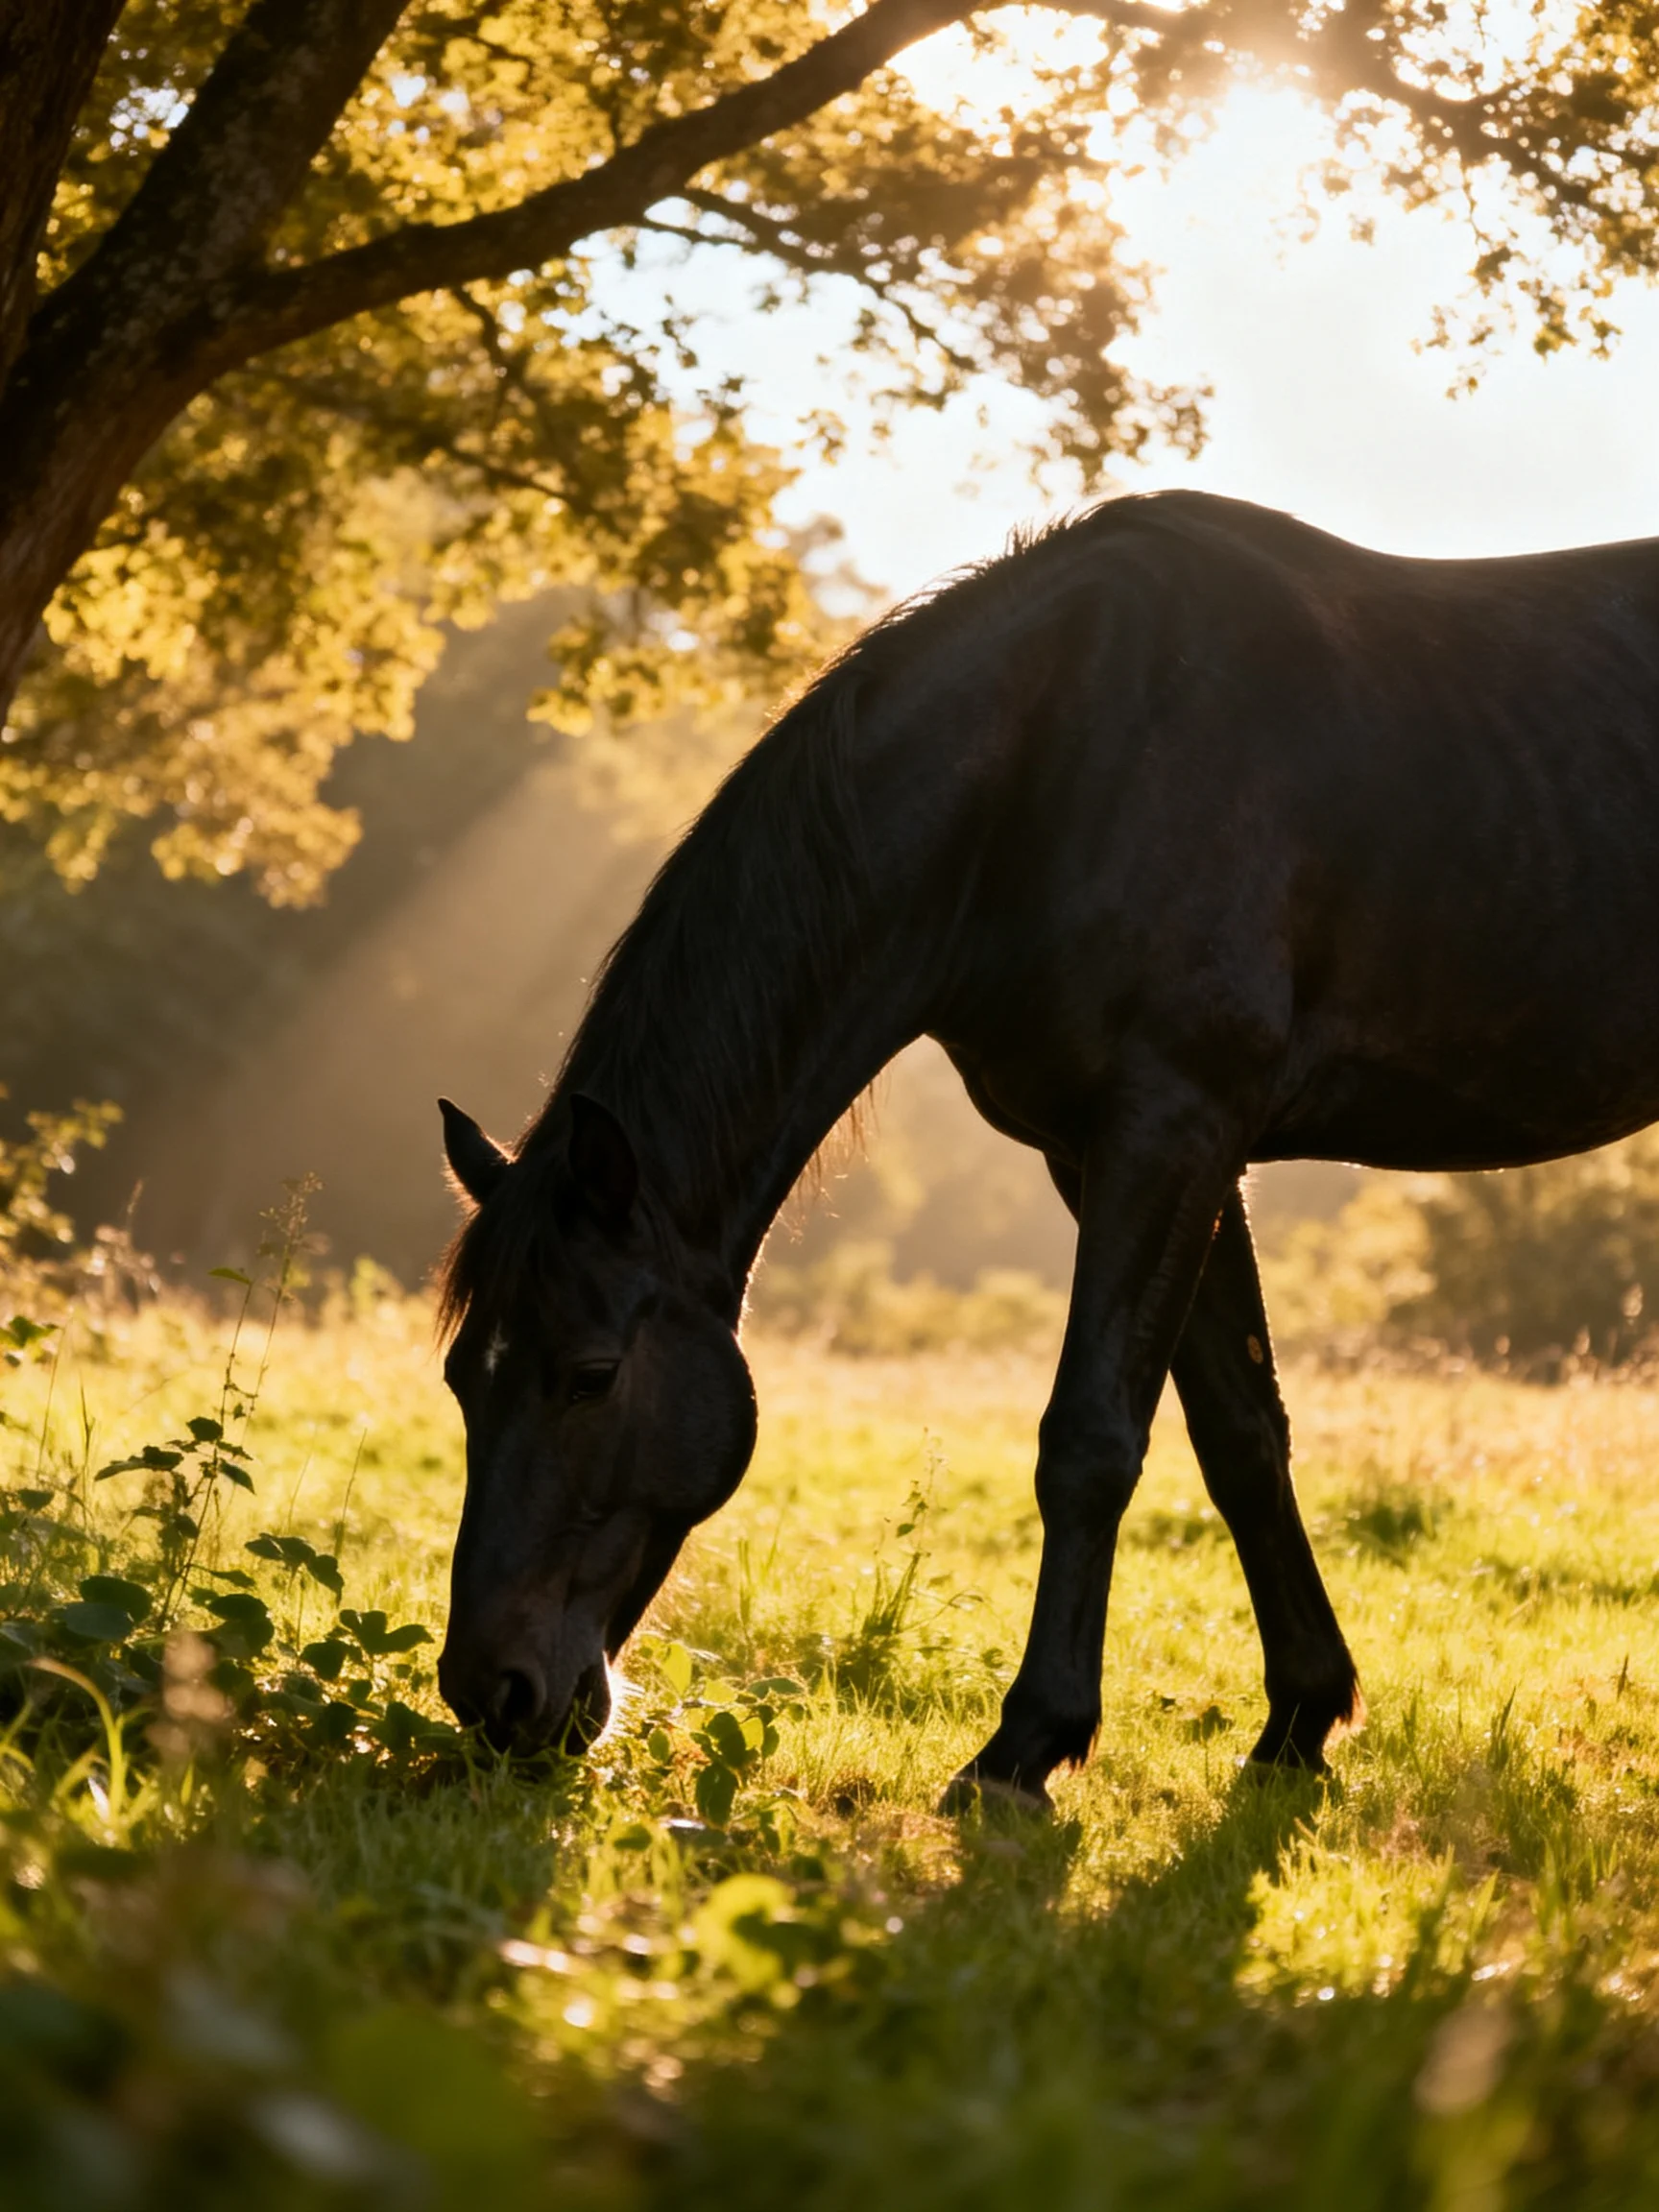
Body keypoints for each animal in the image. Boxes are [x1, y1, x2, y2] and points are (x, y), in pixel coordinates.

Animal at [434, 487, 1659, 1808]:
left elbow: (1089, 1442)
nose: (492, 1695)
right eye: (463, 1379)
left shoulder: (1168, 1129)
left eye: (591, 1375)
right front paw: (1300, 1720)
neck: (1054, 761)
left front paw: (1025, 1744)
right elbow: (1242, 1438)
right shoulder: (1133, 1153)